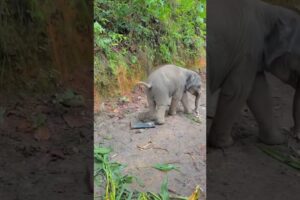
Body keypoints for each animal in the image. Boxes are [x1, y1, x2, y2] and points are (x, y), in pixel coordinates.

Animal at [207, 0, 300, 148]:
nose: (294, 135)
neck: (271, 11)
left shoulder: (253, 56)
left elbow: (260, 92)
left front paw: (278, 140)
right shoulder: (248, 50)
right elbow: (238, 91)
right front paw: (225, 144)